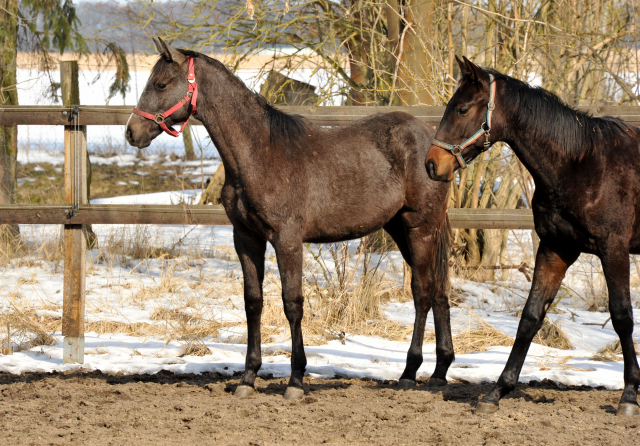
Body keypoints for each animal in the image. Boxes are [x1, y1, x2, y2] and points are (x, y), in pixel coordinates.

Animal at [126, 39, 456, 400]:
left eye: (160, 84)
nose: (131, 132)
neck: (259, 153)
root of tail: (435, 147)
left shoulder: (287, 239)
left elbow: (292, 303)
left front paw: (296, 380)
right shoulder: (246, 237)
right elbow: (253, 302)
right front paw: (247, 378)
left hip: (419, 228)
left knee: (423, 291)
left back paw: (410, 372)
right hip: (401, 229)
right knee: (439, 289)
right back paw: (440, 371)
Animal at [424, 56, 640, 418]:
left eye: (462, 109)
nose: (431, 164)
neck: (580, 164)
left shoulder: (614, 249)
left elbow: (622, 317)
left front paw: (629, 398)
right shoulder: (556, 249)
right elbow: (530, 317)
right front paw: (496, 392)